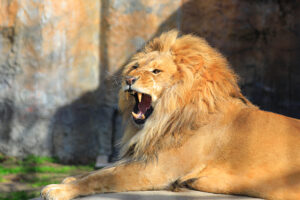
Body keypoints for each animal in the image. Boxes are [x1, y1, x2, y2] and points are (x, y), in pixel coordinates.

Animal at [40, 30, 300, 200]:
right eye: (135, 67)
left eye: (156, 71)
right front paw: (69, 180)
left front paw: (60, 190)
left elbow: (103, 177)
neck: (167, 118)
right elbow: (100, 171)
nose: (128, 79)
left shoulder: (159, 169)